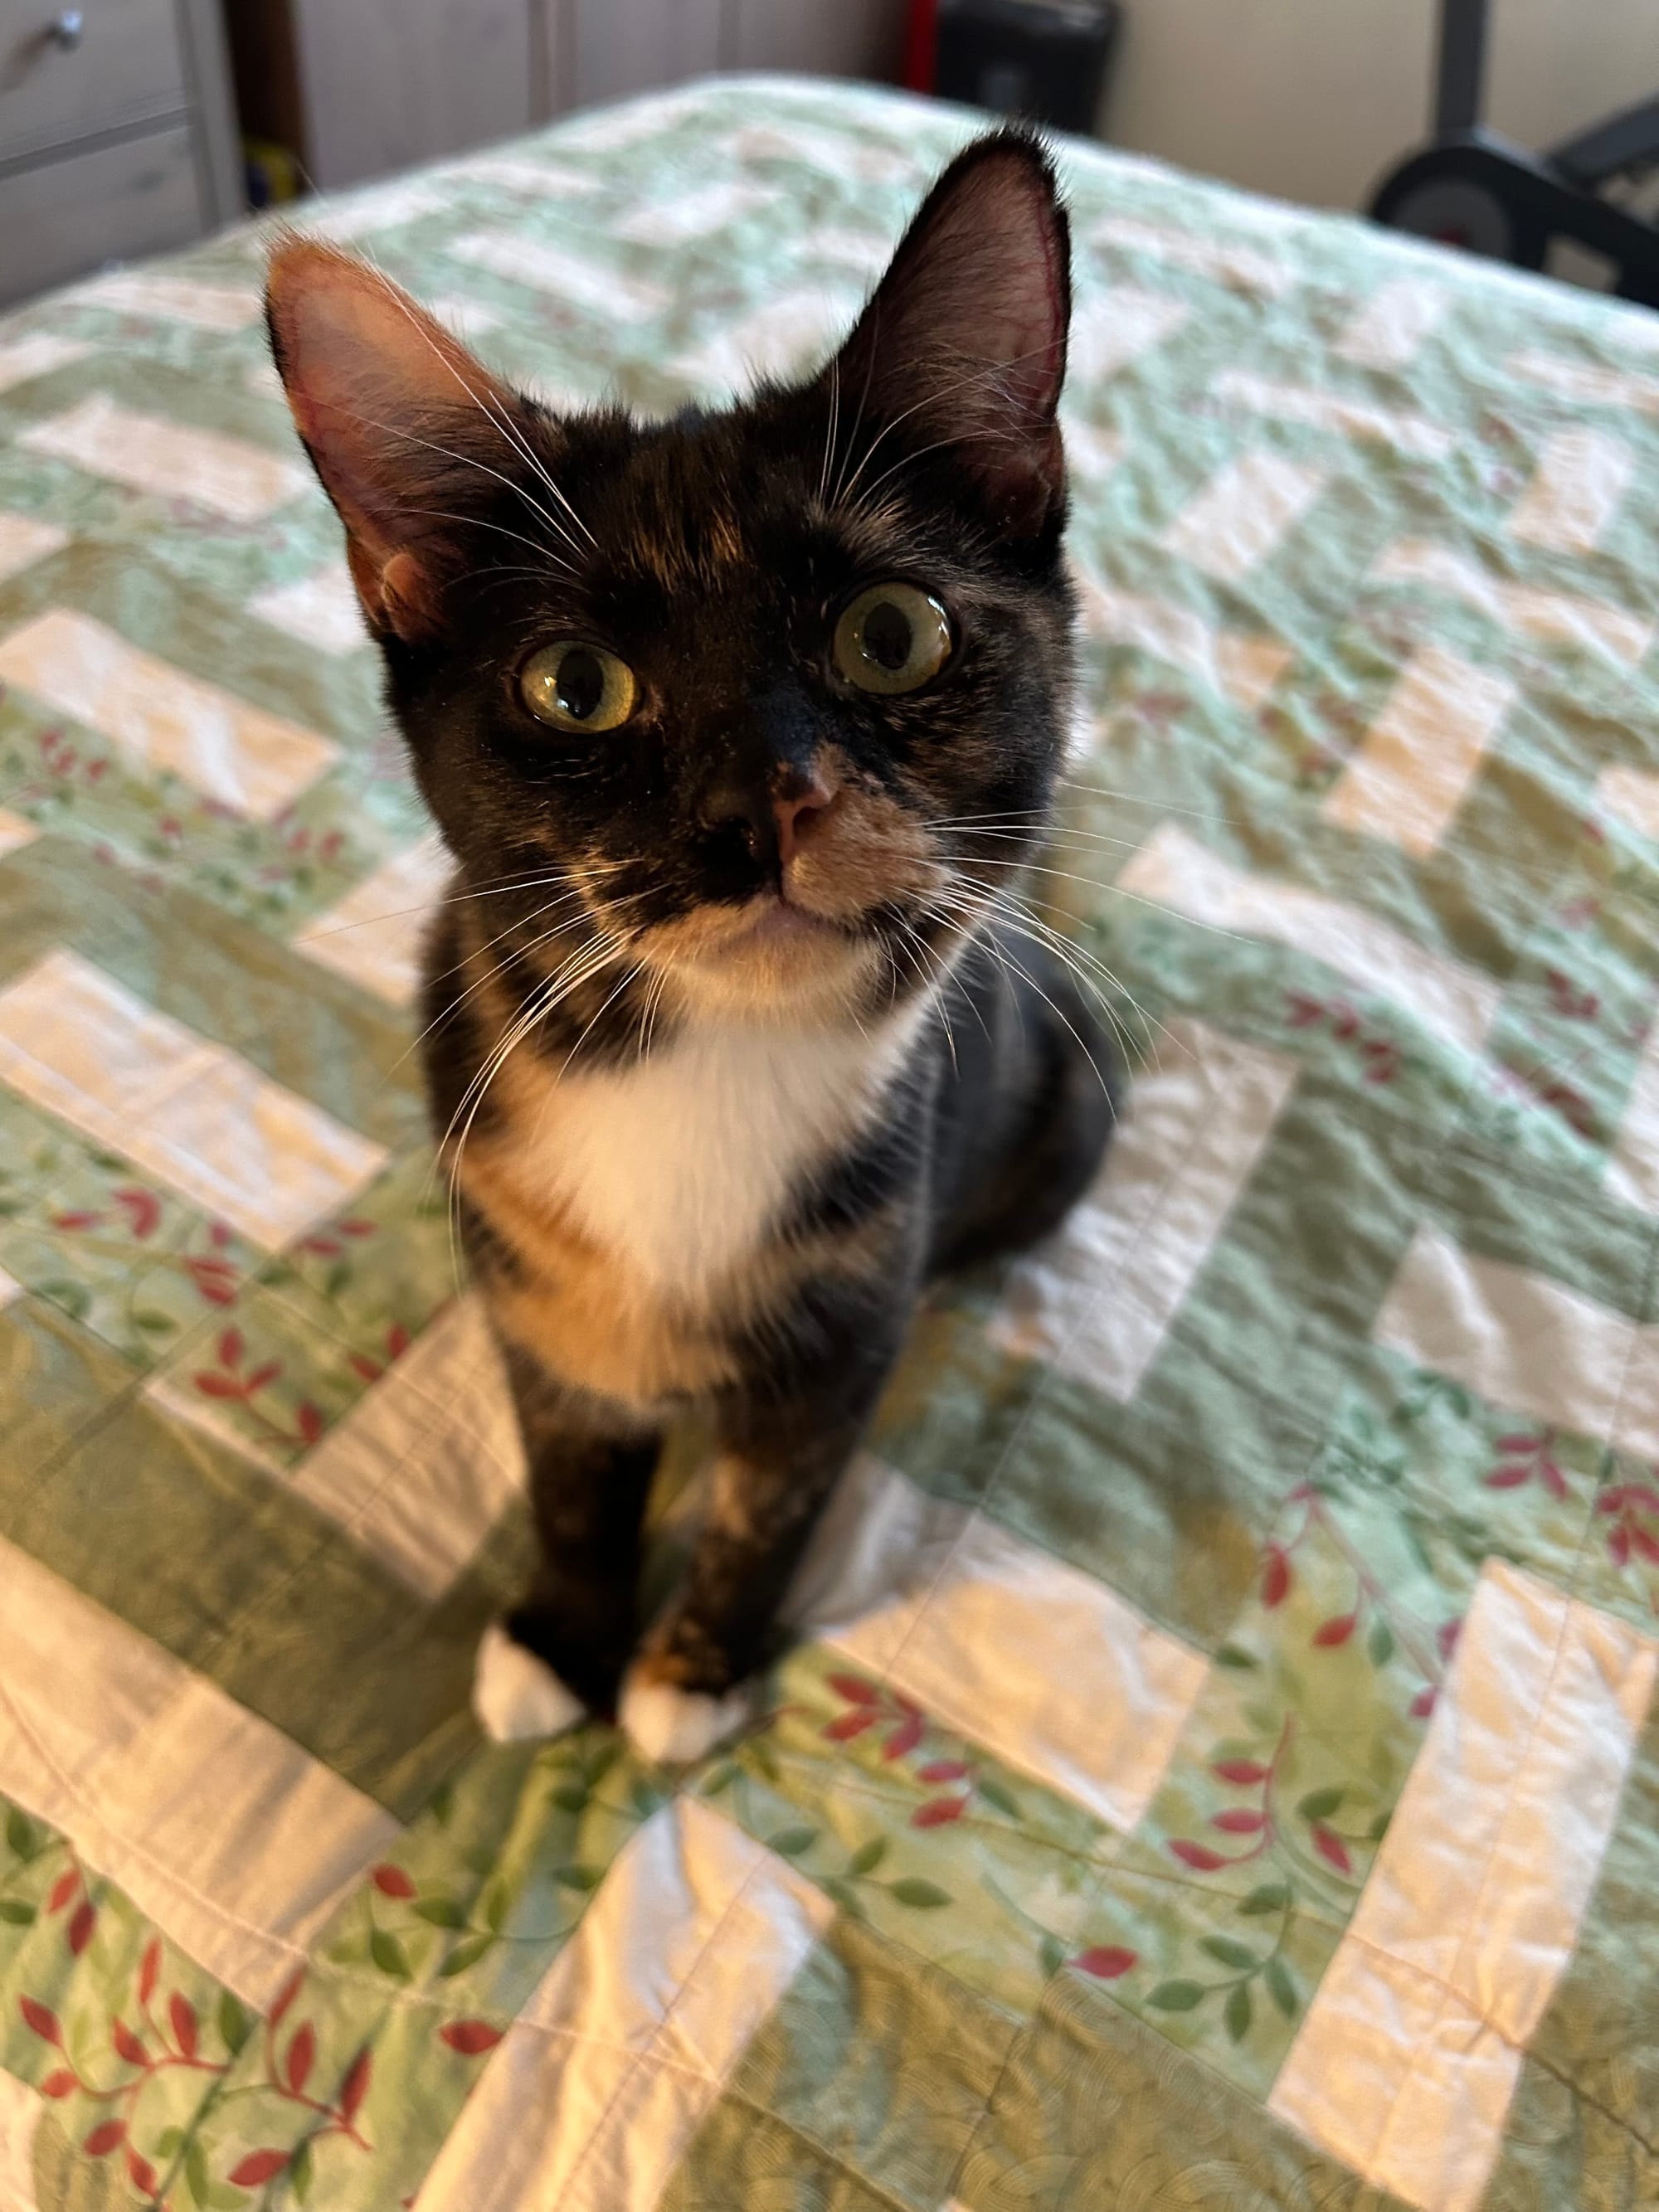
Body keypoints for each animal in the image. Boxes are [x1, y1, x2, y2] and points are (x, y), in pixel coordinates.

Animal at [270, 134, 1119, 1760]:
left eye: (892, 633)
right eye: (573, 683)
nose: (755, 806)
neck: (704, 1065)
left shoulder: (844, 1314)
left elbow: (770, 1503)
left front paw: (695, 1670)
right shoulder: (530, 1280)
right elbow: (570, 1479)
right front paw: (561, 1637)